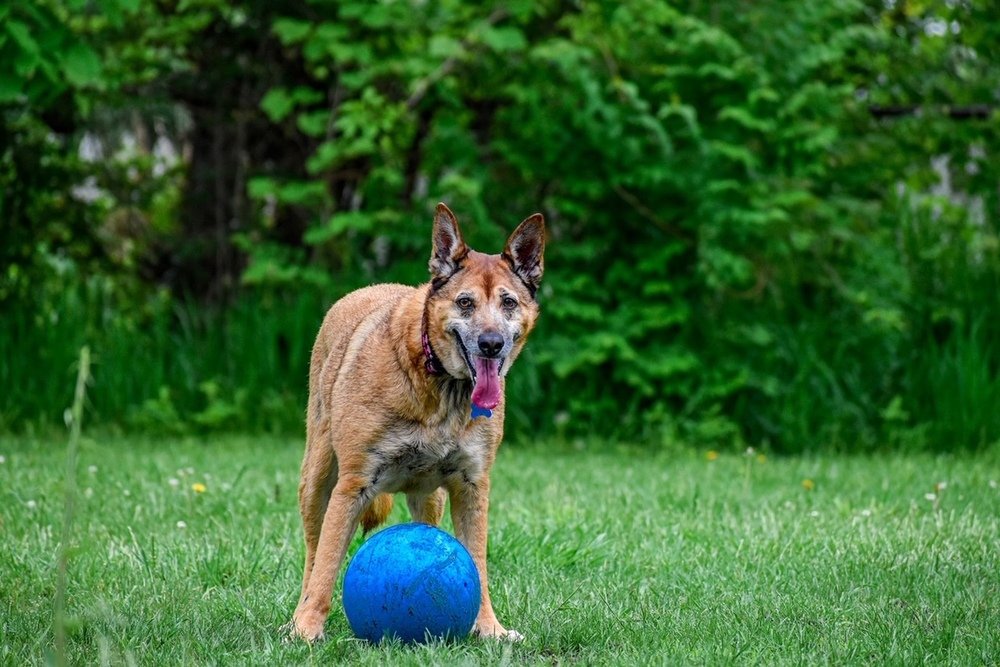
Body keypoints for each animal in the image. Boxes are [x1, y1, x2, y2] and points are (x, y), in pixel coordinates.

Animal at [290, 202, 548, 640]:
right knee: (312, 553)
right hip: (317, 478)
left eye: (509, 303)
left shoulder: (472, 487)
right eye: (465, 303)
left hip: (431, 498)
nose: (491, 344)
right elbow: (325, 566)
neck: (442, 389)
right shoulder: (352, 486)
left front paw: (489, 629)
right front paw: (307, 630)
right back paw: (297, 615)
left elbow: (477, 564)